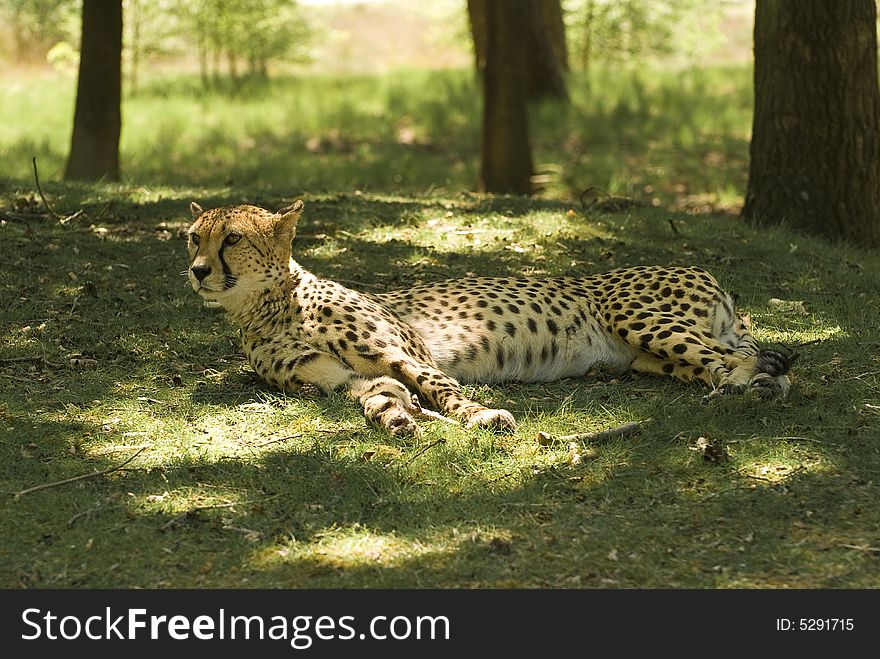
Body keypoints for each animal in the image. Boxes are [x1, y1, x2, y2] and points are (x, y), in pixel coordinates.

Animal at [184, 202, 792, 438]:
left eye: (231, 239)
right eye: (194, 238)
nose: (196, 270)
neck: (266, 309)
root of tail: (703, 270)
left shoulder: (407, 353)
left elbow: (440, 387)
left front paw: (480, 416)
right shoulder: (344, 378)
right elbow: (379, 397)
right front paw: (397, 421)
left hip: (640, 317)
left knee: (739, 360)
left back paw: (755, 383)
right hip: (651, 358)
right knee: (735, 364)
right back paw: (757, 384)